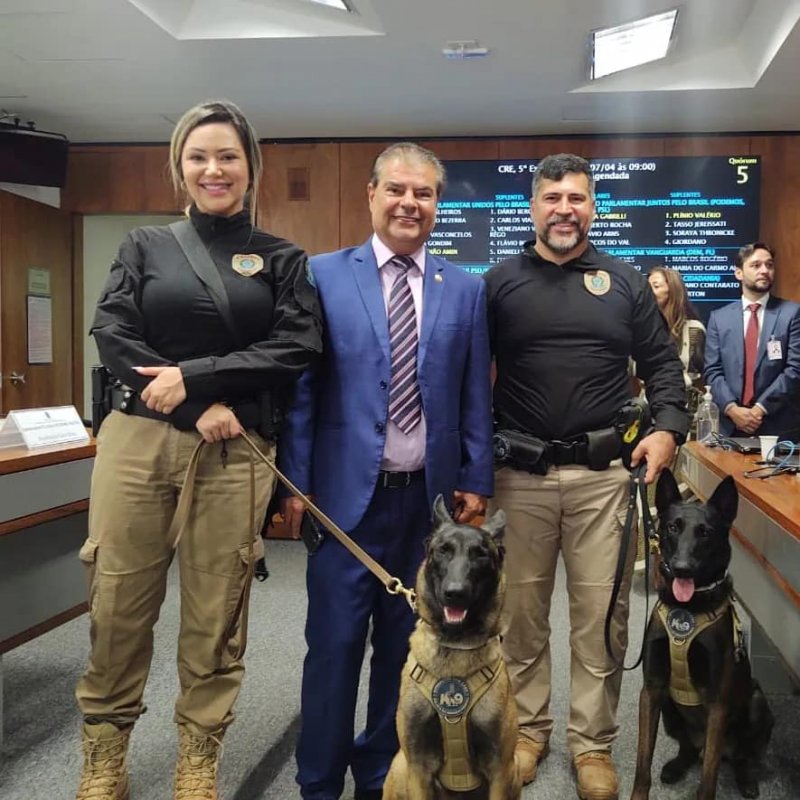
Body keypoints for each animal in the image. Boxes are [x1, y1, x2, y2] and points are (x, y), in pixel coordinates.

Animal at [382, 495, 521, 800]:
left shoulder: (500, 770)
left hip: (515, 769)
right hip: (400, 766)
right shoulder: (418, 768)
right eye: (443, 550)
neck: (456, 646)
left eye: (480, 554)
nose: (455, 593)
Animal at [630, 469, 774, 800]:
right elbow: (642, 763)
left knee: (739, 755)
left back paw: (746, 779)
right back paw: (676, 766)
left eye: (705, 532)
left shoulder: (717, 704)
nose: (682, 569)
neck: (689, 608)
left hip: (757, 703)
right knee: (688, 748)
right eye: (672, 527)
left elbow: (708, 779)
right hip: (670, 709)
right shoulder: (652, 690)